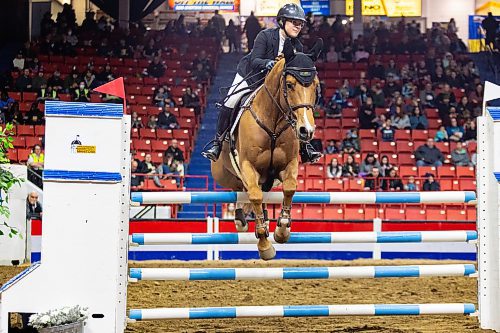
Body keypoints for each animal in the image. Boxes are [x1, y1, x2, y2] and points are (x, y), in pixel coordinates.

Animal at [210, 37, 320, 260]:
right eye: (289, 85)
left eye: (316, 86)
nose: (306, 130)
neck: (274, 123)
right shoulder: (248, 166)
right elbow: (254, 195)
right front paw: (264, 245)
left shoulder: (288, 164)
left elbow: (289, 188)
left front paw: (282, 230)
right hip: (226, 174)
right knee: (239, 191)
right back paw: (240, 219)